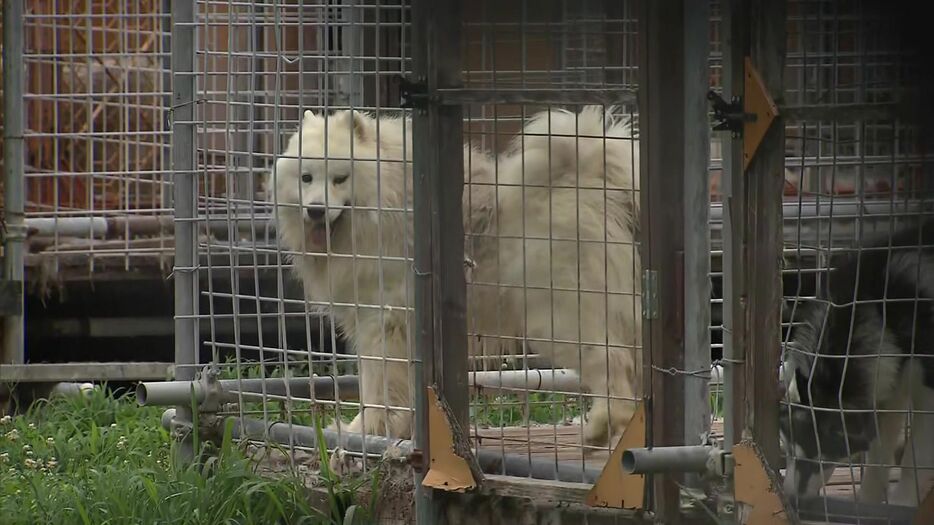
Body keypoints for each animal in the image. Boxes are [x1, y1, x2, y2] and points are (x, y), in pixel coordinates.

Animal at [270, 106, 644, 446]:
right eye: (306, 178)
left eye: (340, 178)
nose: (315, 210)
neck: (387, 202)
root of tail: (591, 181)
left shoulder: (383, 322)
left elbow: (378, 386)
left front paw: (365, 432)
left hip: (555, 316)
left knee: (612, 360)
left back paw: (600, 427)